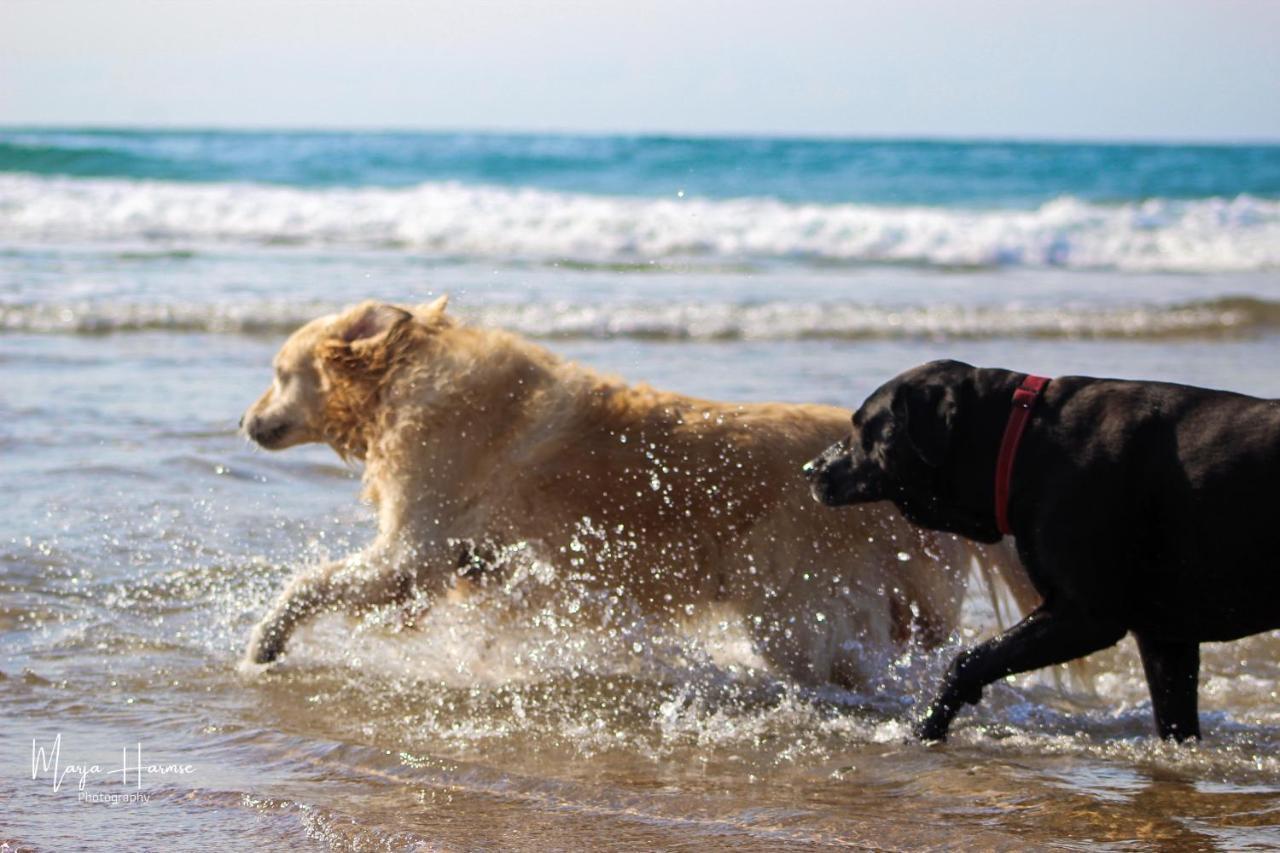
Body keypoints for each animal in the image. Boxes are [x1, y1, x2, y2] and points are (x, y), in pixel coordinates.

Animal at [244, 298, 1034, 686]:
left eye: (279, 373)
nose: (246, 423)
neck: (405, 381)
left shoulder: (413, 548)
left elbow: (307, 584)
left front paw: (262, 641)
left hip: (790, 603)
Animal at [803, 356, 1274, 737]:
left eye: (863, 426)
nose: (810, 468)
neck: (1021, 444)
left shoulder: (1085, 615)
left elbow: (967, 662)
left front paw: (927, 728)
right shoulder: (1164, 637)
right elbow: (1175, 717)